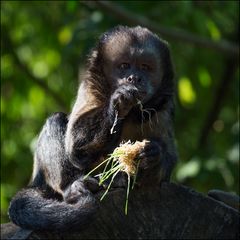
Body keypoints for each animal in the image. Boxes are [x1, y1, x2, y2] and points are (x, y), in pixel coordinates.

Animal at [8, 25, 177, 232]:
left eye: (145, 67)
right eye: (124, 66)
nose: (134, 77)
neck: (133, 113)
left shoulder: (164, 105)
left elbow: (168, 161)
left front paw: (153, 155)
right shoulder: (90, 86)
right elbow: (76, 148)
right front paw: (118, 103)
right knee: (56, 120)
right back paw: (71, 185)